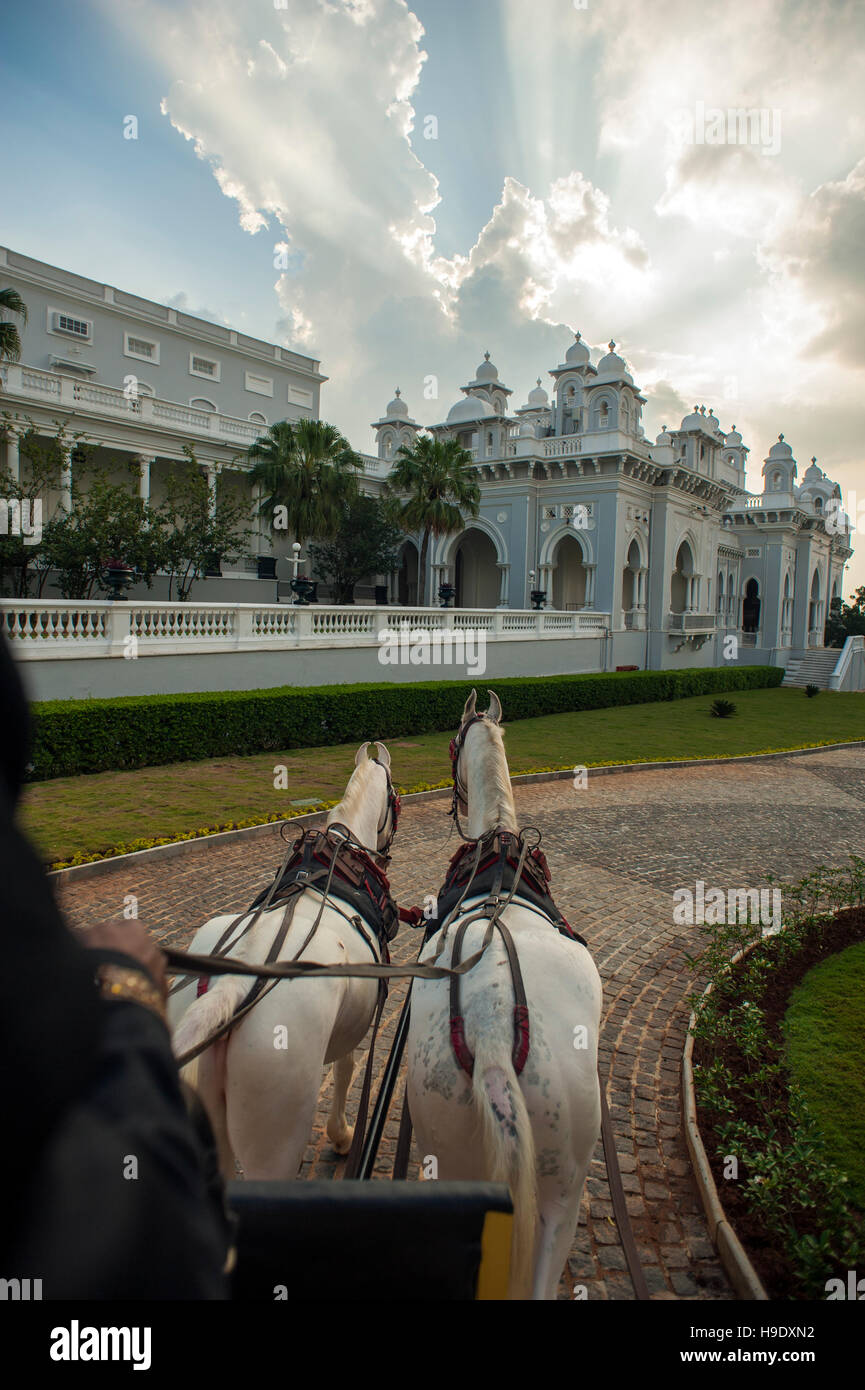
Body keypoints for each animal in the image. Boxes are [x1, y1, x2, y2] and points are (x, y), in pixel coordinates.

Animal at [167, 745, 397, 1178]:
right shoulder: (353, 1027)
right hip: (276, 1120)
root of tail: (230, 986)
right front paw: (342, 1135)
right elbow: (345, 1069)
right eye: (395, 796)